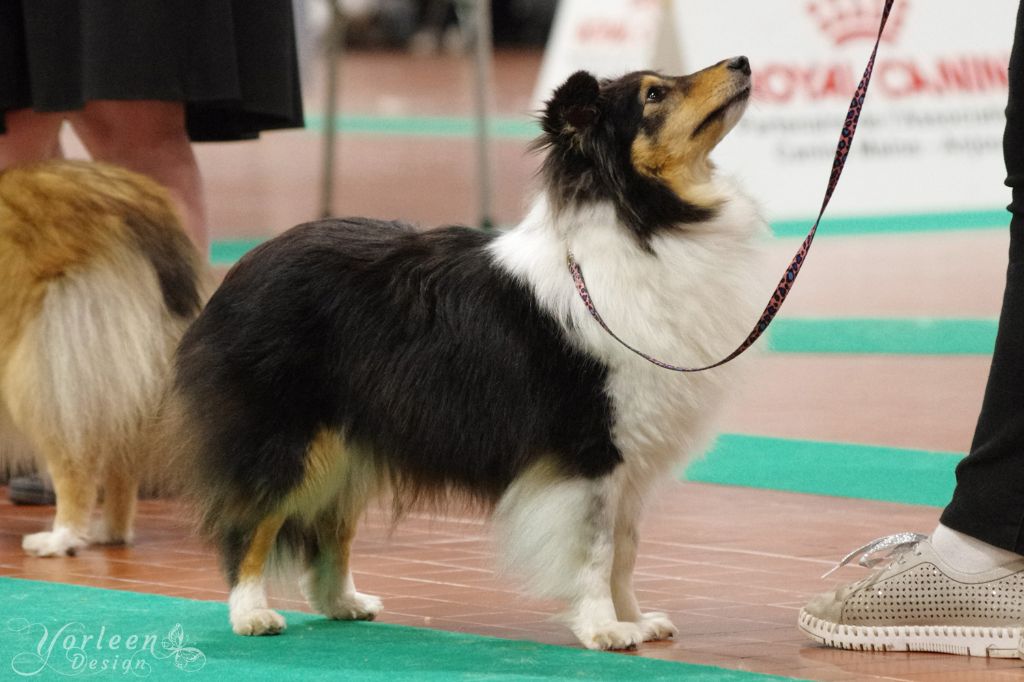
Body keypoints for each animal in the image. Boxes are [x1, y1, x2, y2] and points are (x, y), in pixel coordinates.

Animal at [167, 59, 765, 647]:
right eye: (653, 96)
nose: (742, 62)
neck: (645, 225)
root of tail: (241, 268)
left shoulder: (630, 460)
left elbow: (626, 551)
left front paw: (636, 620)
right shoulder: (592, 447)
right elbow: (596, 552)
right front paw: (604, 629)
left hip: (351, 441)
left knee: (331, 526)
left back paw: (343, 604)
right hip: (284, 435)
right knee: (252, 521)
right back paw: (252, 614)